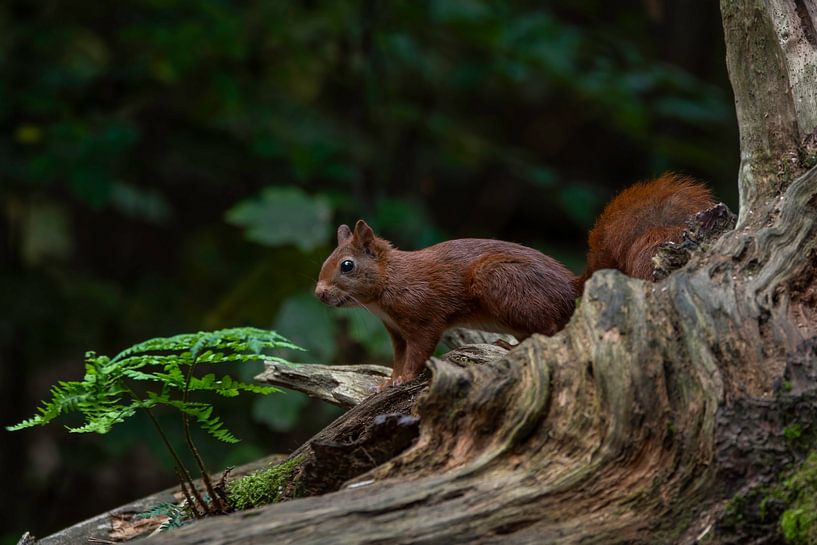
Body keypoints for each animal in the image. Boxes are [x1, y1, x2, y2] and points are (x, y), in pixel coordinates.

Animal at [315, 173, 713, 387]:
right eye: (327, 260)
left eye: (347, 265)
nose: (319, 293)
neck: (387, 284)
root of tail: (573, 287)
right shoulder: (396, 331)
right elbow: (399, 357)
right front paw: (388, 381)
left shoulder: (422, 314)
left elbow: (420, 351)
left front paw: (402, 379)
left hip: (500, 280)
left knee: (551, 328)